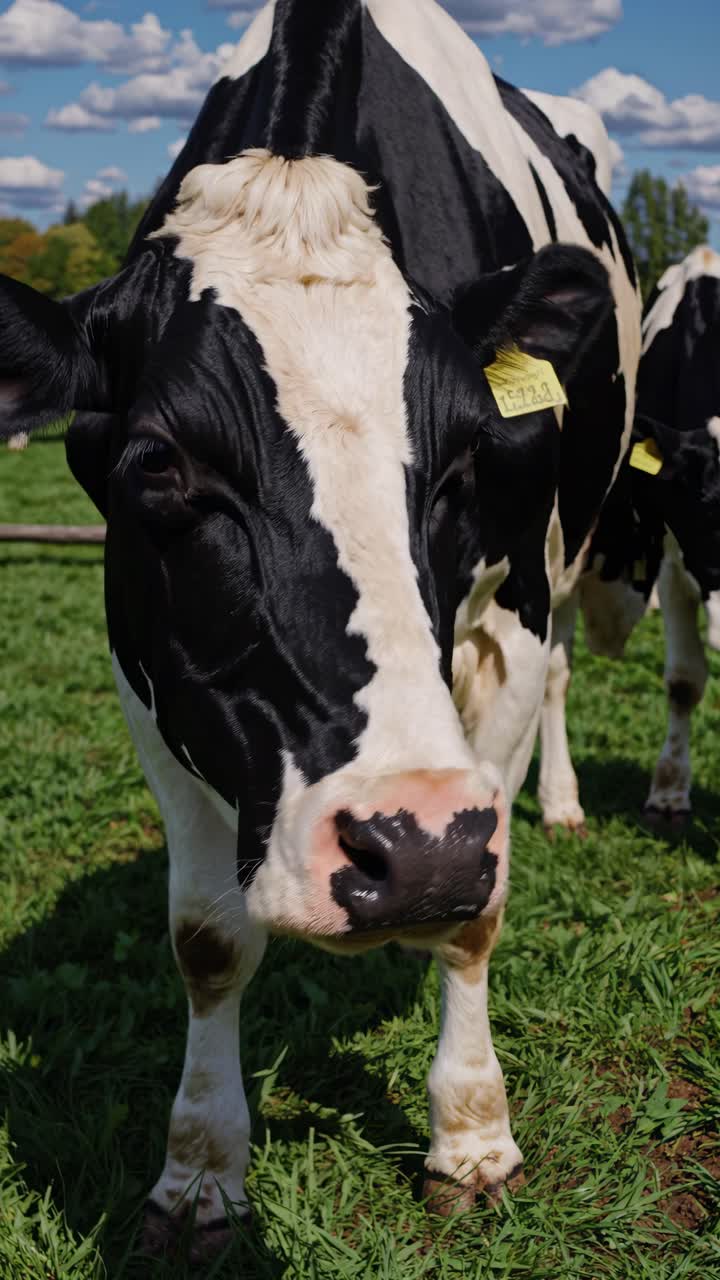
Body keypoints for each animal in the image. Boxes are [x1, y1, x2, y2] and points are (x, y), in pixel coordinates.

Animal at [0, 0, 640, 1259]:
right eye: (161, 462)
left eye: (469, 455)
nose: (417, 845)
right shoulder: (150, 655)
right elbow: (207, 934)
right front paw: (199, 1171)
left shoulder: (512, 615)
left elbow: (479, 915)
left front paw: (474, 1141)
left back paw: (560, 802)